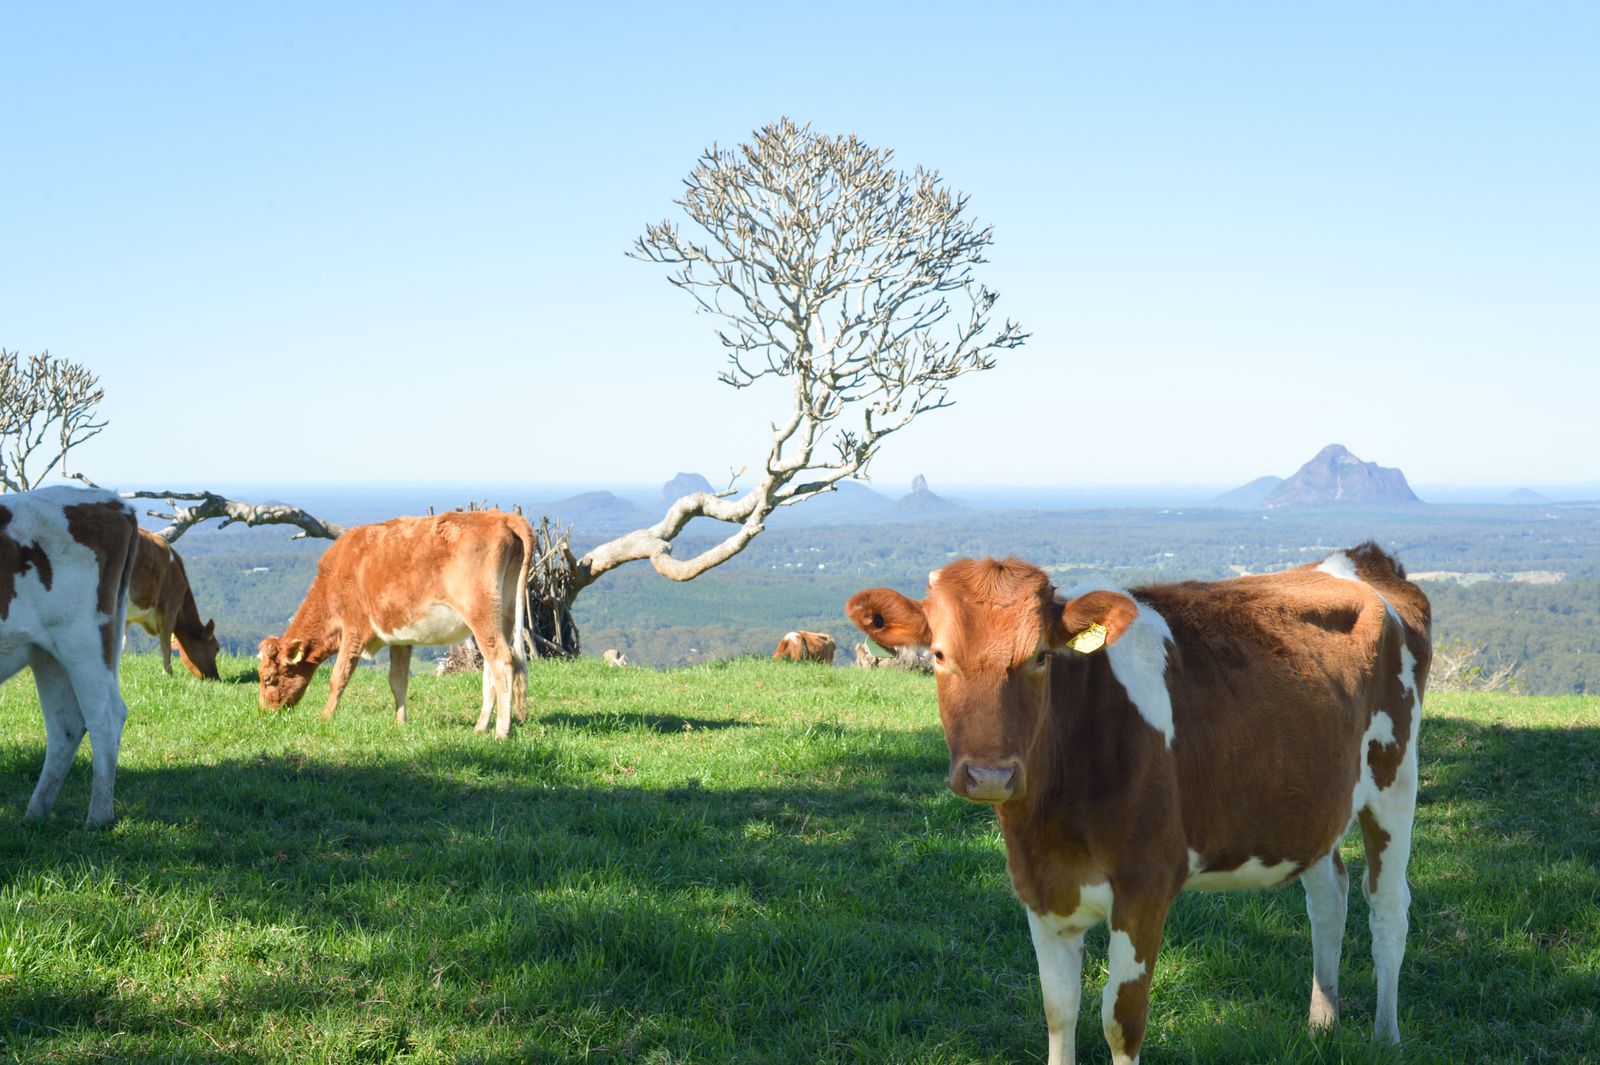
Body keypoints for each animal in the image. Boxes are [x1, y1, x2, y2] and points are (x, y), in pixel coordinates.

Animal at [0, 485, 140, 827]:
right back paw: (35, 813)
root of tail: (113, 502)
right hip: (47, 653)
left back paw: (98, 817)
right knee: (67, 725)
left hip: (83, 640)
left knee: (106, 716)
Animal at [126, 528, 220, 679]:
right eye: (216, 648)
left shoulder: (127, 618)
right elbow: (166, 645)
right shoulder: (170, 609)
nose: (216, 678)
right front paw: (168, 674)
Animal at [258, 511, 534, 738]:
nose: (264, 712)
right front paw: (400, 722)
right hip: (503, 614)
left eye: (268, 678)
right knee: (491, 668)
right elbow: (397, 680)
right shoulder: (400, 638)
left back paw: (501, 731)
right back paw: (481, 727)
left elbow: (339, 677)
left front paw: (325, 718)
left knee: (502, 661)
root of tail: (502, 516)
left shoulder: (353, 630)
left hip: (479, 612)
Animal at [847, 543, 1431, 1064]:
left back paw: (1387, 1035)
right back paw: (1321, 1022)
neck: (1051, 822)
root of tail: (1358, 560)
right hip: (1313, 805)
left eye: (1039, 656)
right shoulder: (1040, 887)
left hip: (1395, 780)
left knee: (1388, 907)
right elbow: (1058, 1010)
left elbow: (1120, 1021)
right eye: (940, 655)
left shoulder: (1145, 884)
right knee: (1329, 895)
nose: (990, 774)